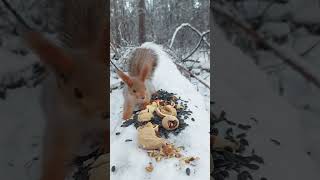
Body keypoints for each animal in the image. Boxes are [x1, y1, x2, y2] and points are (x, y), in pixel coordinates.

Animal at [22, 0, 109, 180]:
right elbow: (56, 156)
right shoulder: (61, 125)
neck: (87, 119)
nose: (106, 113)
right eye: (77, 93)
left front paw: (106, 143)